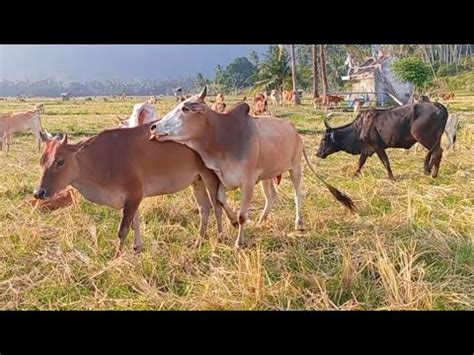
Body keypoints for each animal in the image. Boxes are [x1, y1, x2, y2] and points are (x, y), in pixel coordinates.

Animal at [33, 124, 239, 256]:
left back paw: (220, 238)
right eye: (42, 160)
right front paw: (137, 247)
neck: (103, 159)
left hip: (209, 176)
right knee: (204, 208)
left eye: (60, 161)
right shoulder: (133, 198)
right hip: (196, 180)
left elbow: (123, 229)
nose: (39, 192)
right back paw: (198, 241)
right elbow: (135, 222)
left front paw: (117, 256)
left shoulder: (133, 196)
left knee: (216, 206)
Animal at [150, 87, 354, 250]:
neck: (223, 137)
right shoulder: (225, 179)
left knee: (298, 195)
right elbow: (221, 200)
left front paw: (239, 242)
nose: (153, 127)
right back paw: (262, 220)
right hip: (267, 176)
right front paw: (232, 221)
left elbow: (242, 215)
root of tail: (294, 130)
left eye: (185, 109)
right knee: (272, 197)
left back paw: (299, 223)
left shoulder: (247, 182)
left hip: (295, 168)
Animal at [318, 103, 448, 181]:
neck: (360, 127)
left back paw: (427, 171)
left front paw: (391, 178)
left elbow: (385, 162)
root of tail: (436, 105)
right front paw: (354, 174)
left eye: (324, 139)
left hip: (424, 138)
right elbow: (360, 163)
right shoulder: (366, 149)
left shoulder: (378, 147)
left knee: (436, 153)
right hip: (436, 140)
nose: (318, 153)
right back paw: (434, 175)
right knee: (439, 152)